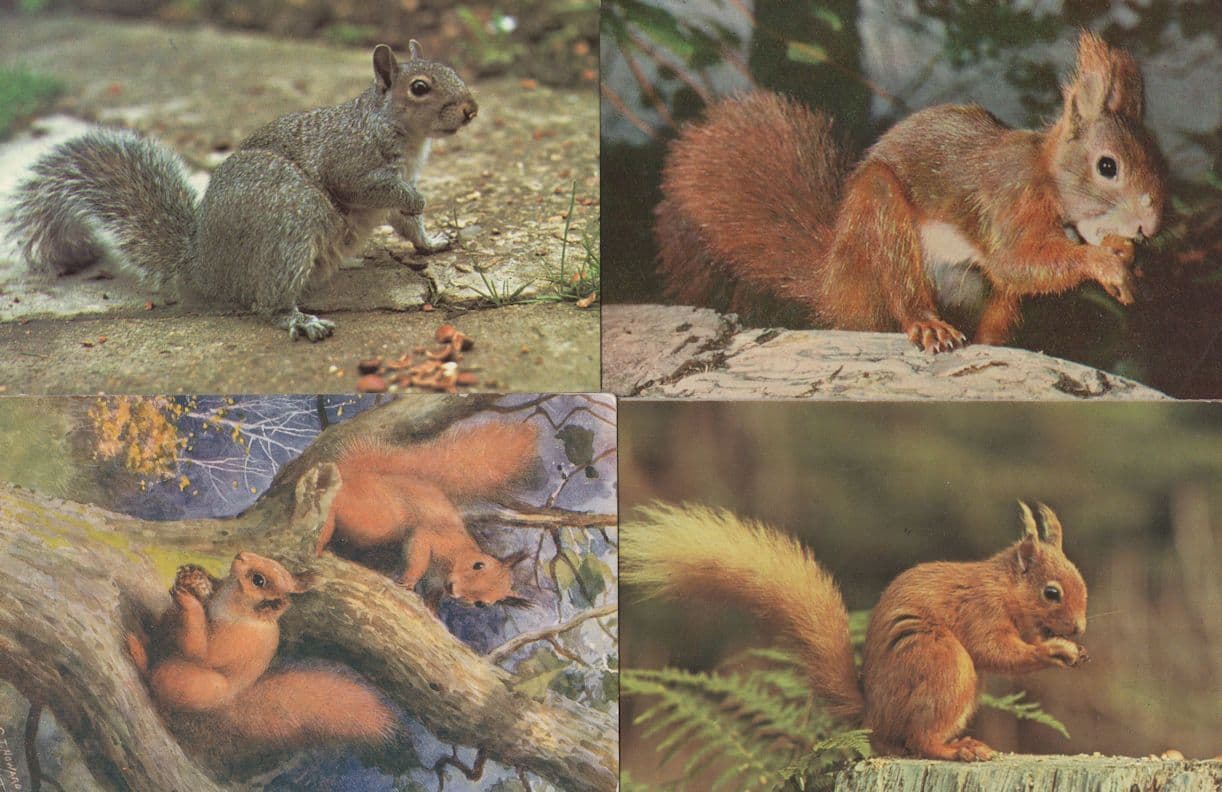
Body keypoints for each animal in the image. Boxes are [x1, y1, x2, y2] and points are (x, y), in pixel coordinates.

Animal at [7, 41, 476, 341]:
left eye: (454, 71)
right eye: (419, 87)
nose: (471, 109)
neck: (402, 134)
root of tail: (203, 267)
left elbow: (407, 223)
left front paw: (434, 241)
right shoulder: (350, 164)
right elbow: (371, 189)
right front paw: (419, 201)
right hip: (292, 215)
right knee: (267, 303)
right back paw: (299, 321)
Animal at [125, 552, 398, 752]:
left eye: (258, 580)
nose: (240, 555)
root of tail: (228, 706)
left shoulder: (238, 639)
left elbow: (204, 653)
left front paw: (189, 600)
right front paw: (196, 576)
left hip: (191, 682)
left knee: (157, 682)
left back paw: (139, 654)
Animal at [315, 420, 538, 609]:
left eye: (481, 604)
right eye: (478, 565)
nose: (453, 589)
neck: (459, 552)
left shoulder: (436, 585)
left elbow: (432, 599)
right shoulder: (434, 538)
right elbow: (419, 553)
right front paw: (409, 582)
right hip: (379, 517)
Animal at [622, 501, 1089, 761]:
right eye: (1051, 592)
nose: (1080, 628)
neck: (1004, 588)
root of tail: (873, 718)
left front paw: (1072, 650)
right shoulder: (981, 611)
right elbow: (996, 650)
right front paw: (1055, 651)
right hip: (943, 663)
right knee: (920, 740)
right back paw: (957, 749)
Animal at [655, 31, 1166, 352]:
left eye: (1160, 159)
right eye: (1107, 167)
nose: (1150, 226)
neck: (1045, 177)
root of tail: (831, 281)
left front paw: (1124, 255)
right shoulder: (1004, 202)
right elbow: (1016, 263)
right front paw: (1103, 263)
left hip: (985, 296)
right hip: (878, 224)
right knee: (900, 288)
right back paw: (927, 325)